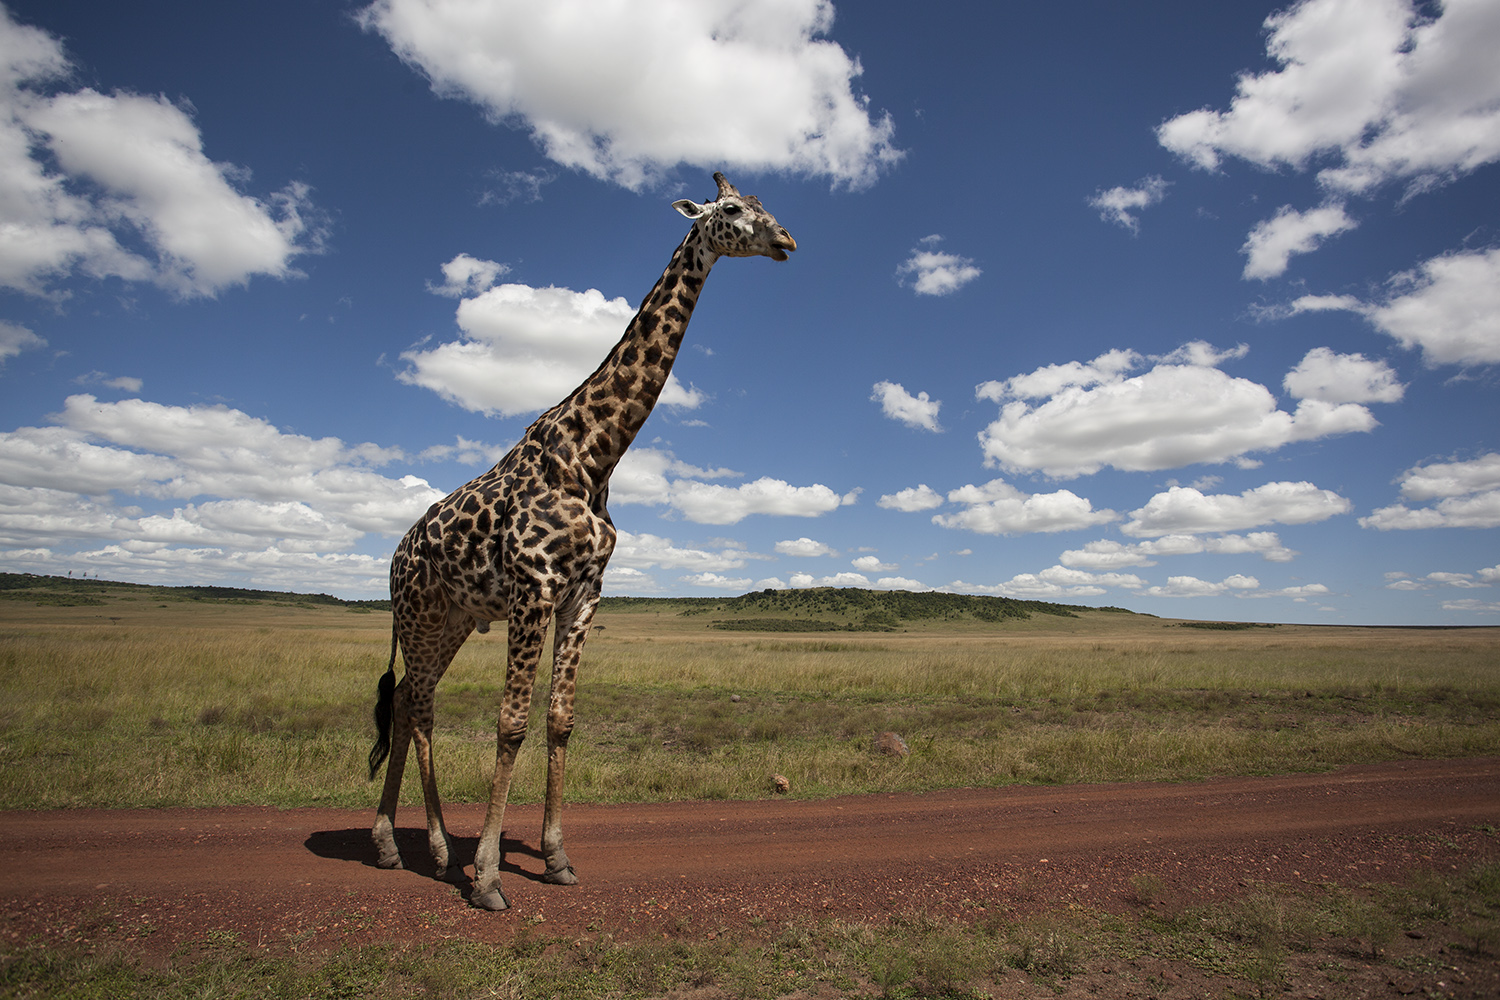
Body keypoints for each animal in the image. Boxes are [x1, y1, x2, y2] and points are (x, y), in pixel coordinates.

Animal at [364, 173, 798, 917]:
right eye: (732, 209)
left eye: (765, 206)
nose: (786, 241)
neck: (594, 457)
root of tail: (394, 557)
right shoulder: (535, 586)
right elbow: (511, 722)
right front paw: (489, 879)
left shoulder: (584, 595)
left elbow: (560, 719)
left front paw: (557, 859)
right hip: (417, 615)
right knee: (413, 706)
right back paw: (431, 848)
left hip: (451, 621)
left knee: (414, 705)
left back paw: (407, 847)